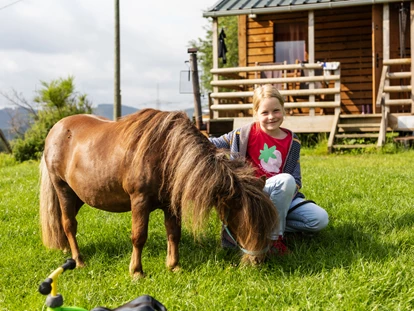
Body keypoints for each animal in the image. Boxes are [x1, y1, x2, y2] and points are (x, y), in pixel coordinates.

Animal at [39, 109, 278, 278]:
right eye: (243, 220)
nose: (259, 261)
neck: (166, 153)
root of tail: (56, 129)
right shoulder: (139, 201)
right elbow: (139, 236)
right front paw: (136, 272)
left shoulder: (171, 205)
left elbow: (174, 234)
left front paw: (174, 266)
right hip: (63, 189)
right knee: (69, 224)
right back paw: (79, 260)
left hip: (79, 196)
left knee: (62, 222)